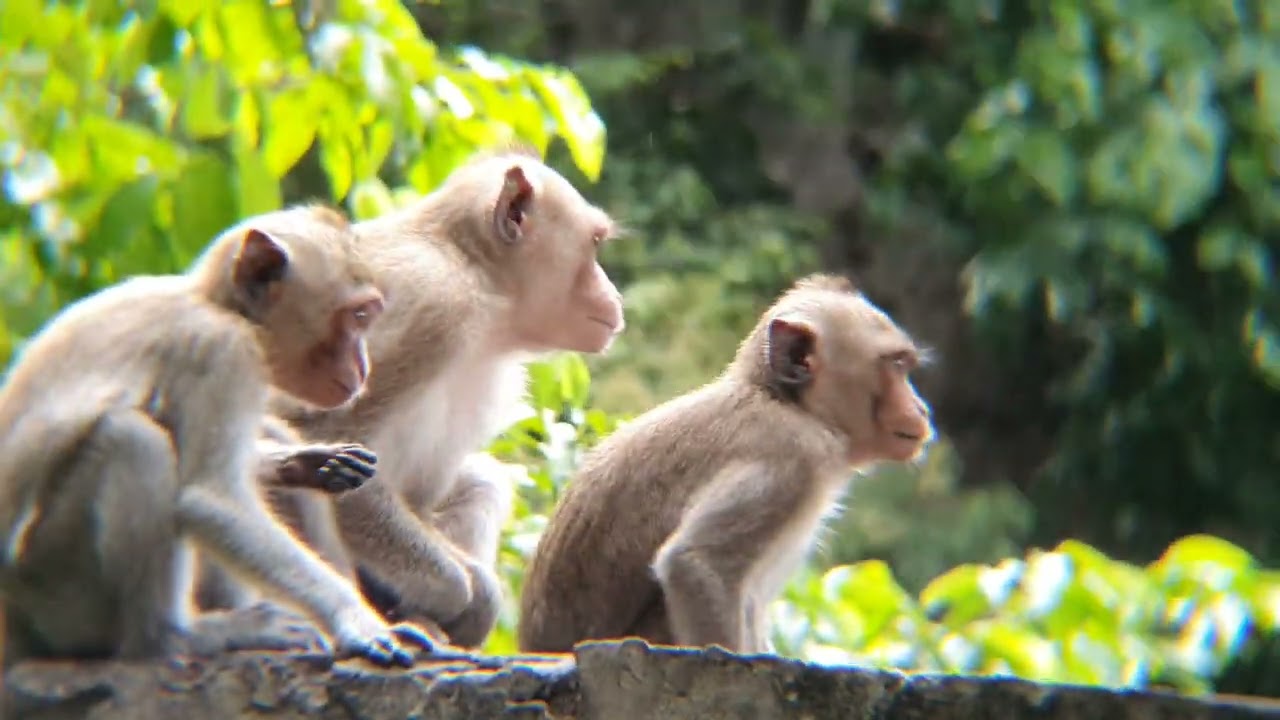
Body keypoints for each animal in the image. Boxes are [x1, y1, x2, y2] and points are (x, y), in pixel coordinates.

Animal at [0, 205, 437, 669]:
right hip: (56, 589)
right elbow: (212, 498)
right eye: (359, 316)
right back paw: (171, 639)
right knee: (135, 441)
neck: (216, 305)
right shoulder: (223, 353)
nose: (363, 365)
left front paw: (306, 461)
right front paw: (357, 620)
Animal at [267, 147, 625, 648]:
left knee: (482, 481)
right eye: (593, 245)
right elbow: (329, 446)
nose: (614, 295)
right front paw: (465, 594)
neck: (477, 278)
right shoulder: (429, 303)